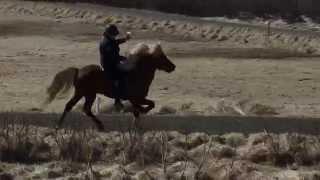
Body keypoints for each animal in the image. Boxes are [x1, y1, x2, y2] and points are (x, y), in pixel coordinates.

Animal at [44, 43, 175, 131]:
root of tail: (79, 71)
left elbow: (138, 111)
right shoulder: (135, 98)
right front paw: (143, 112)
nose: (173, 67)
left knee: (78, 108)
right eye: (161, 56)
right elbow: (149, 105)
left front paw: (136, 126)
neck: (137, 73)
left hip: (86, 94)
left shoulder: (135, 99)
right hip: (86, 93)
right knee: (79, 108)